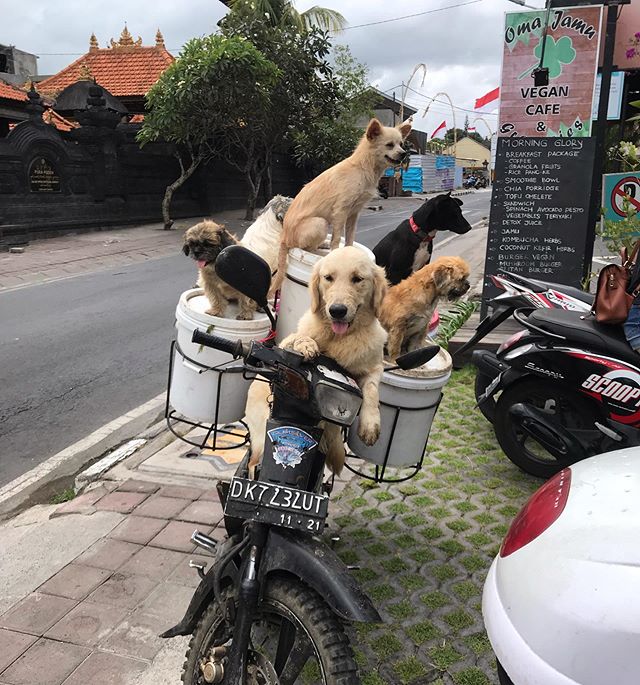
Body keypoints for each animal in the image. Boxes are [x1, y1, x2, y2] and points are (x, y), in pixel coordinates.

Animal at [244, 246, 384, 476]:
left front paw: (370, 425)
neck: (338, 339)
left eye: (357, 279)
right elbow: (296, 340)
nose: (337, 310)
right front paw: (306, 345)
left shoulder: (373, 367)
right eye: (328, 278)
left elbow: (372, 390)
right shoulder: (287, 345)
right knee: (253, 462)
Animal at [268, 117, 410, 294]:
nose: (404, 154)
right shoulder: (341, 211)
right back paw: (320, 250)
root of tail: (284, 236)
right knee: (306, 248)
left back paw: (322, 244)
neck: (362, 168)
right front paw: (335, 254)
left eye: (401, 144)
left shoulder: (354, 214)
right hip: (319, 223)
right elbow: (336, 239)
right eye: (390, 145)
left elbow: (350, 237)